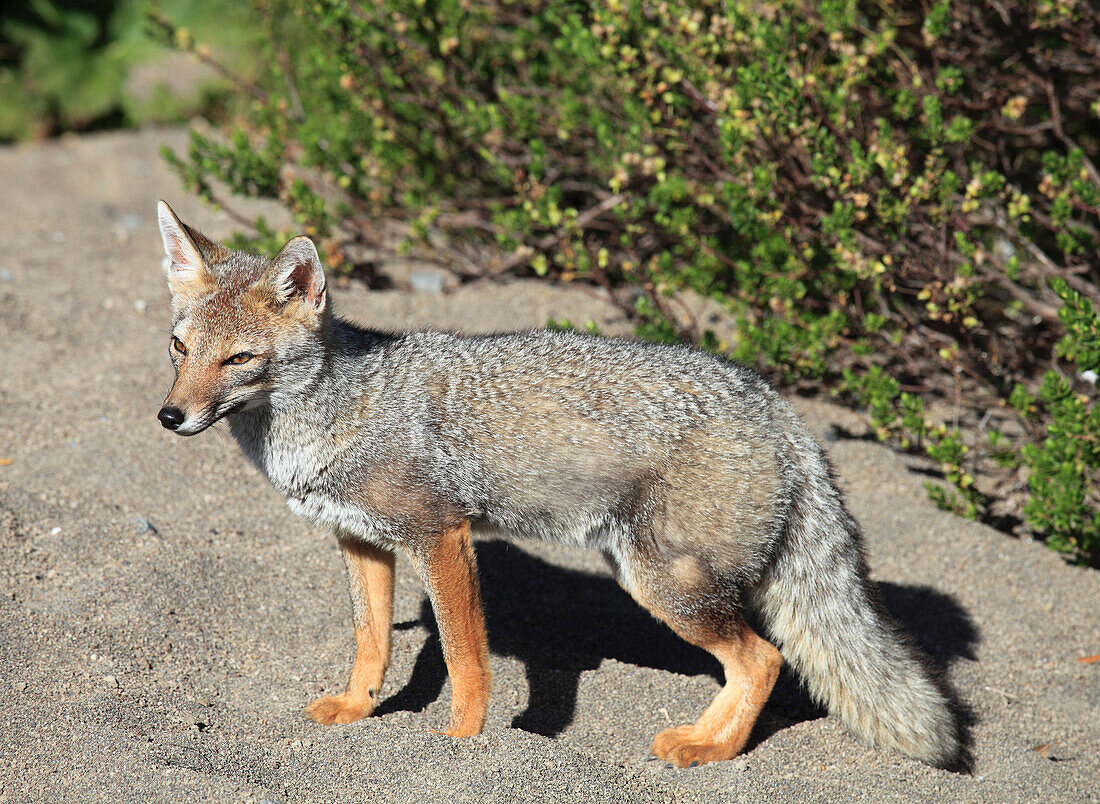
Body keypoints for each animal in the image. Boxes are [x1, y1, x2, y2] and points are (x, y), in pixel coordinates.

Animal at [155, 200, 963, 765]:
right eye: (179, 347)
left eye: (239, 359)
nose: (170, 416)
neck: (332, 413)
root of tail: (780, 410)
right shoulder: (360, 541)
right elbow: (370, 642)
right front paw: (359, 712)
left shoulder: (441, 535)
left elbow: (465, 658)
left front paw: (461, 743)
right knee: (760, 661)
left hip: (664, 583)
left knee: (764, 659)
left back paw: (709, 750)